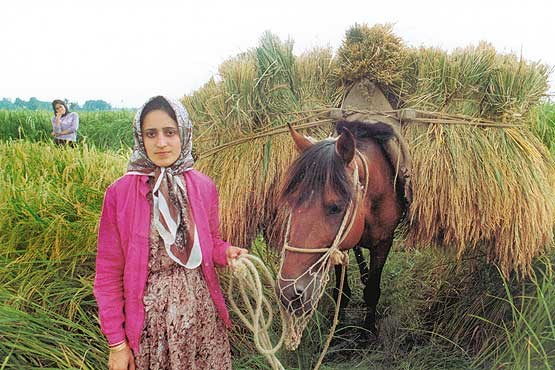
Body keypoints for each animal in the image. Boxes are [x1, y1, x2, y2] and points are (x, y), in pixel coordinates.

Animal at [276, 118, 404, 338]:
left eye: (336, 207)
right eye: (291, 201)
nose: (289, 294)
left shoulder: (384, 242)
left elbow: (372, 291)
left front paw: (367, 330)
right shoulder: (339, 246)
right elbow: (341, 289)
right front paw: (339, 324)